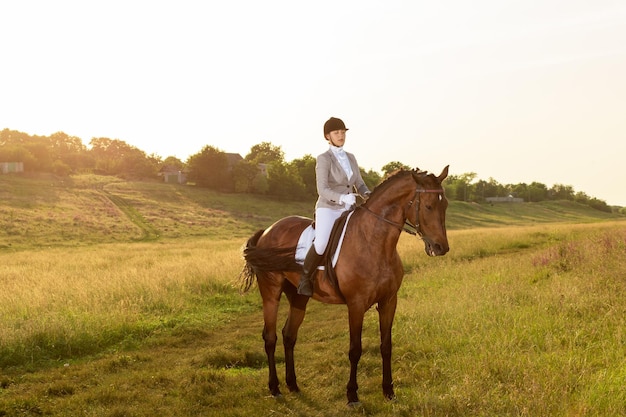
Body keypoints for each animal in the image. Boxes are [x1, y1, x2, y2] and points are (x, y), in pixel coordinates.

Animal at [239, 166, 448, 404]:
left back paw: (293, 385)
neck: (374, 242)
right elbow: (355, 349)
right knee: (270, 337)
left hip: (299, 297)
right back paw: (274, 388)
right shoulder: (356, 305)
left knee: (289, 335)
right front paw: (352, 394)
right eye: (429, 206)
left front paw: (388, 390)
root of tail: (267, 230)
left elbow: (386, 346)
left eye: (445, 204)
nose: (441, 247)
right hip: (271, 293)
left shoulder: (388, 302)